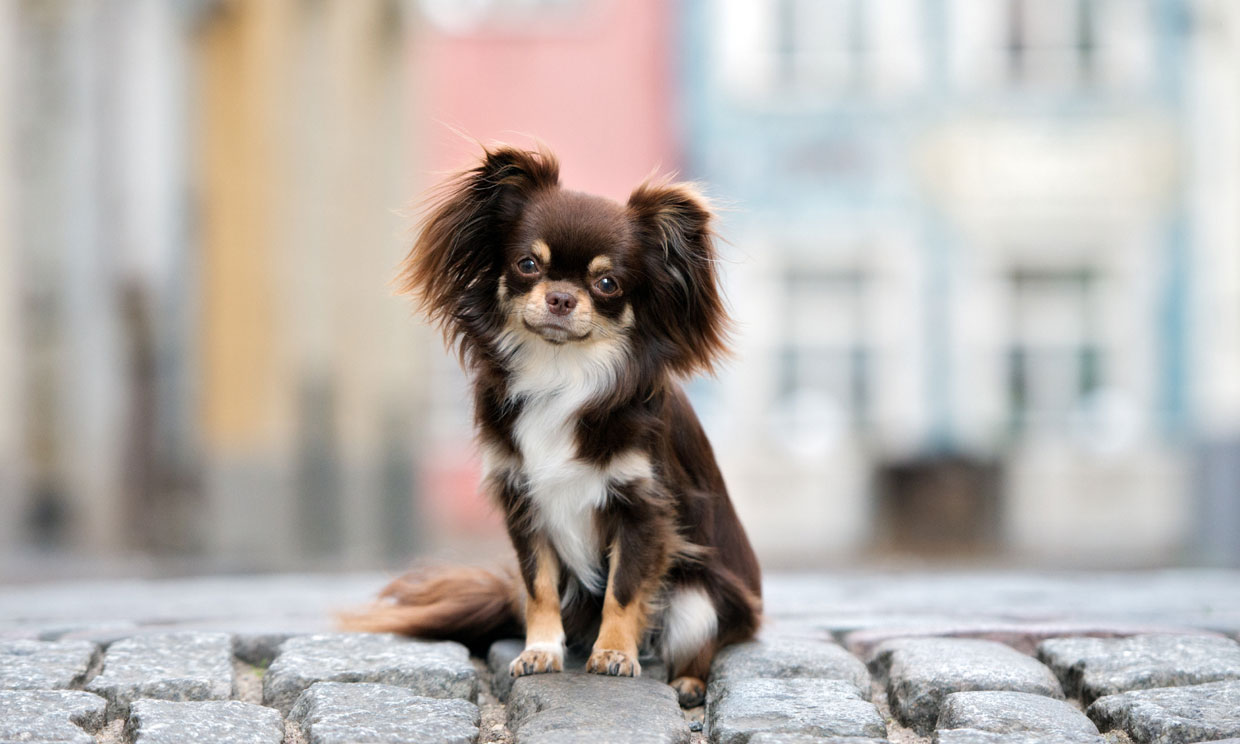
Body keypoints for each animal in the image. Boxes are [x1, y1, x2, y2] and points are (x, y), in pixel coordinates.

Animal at [344, 146, 758, 709]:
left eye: (607, 283)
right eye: (527, 265)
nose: (561, 297)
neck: (562, 372)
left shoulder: (643, 509)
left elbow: (624, 588)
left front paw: (614, 654)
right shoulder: (524, 500)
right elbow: (538, 585)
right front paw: (540, 652)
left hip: (699, 598)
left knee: (699, 640)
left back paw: (688, 684)